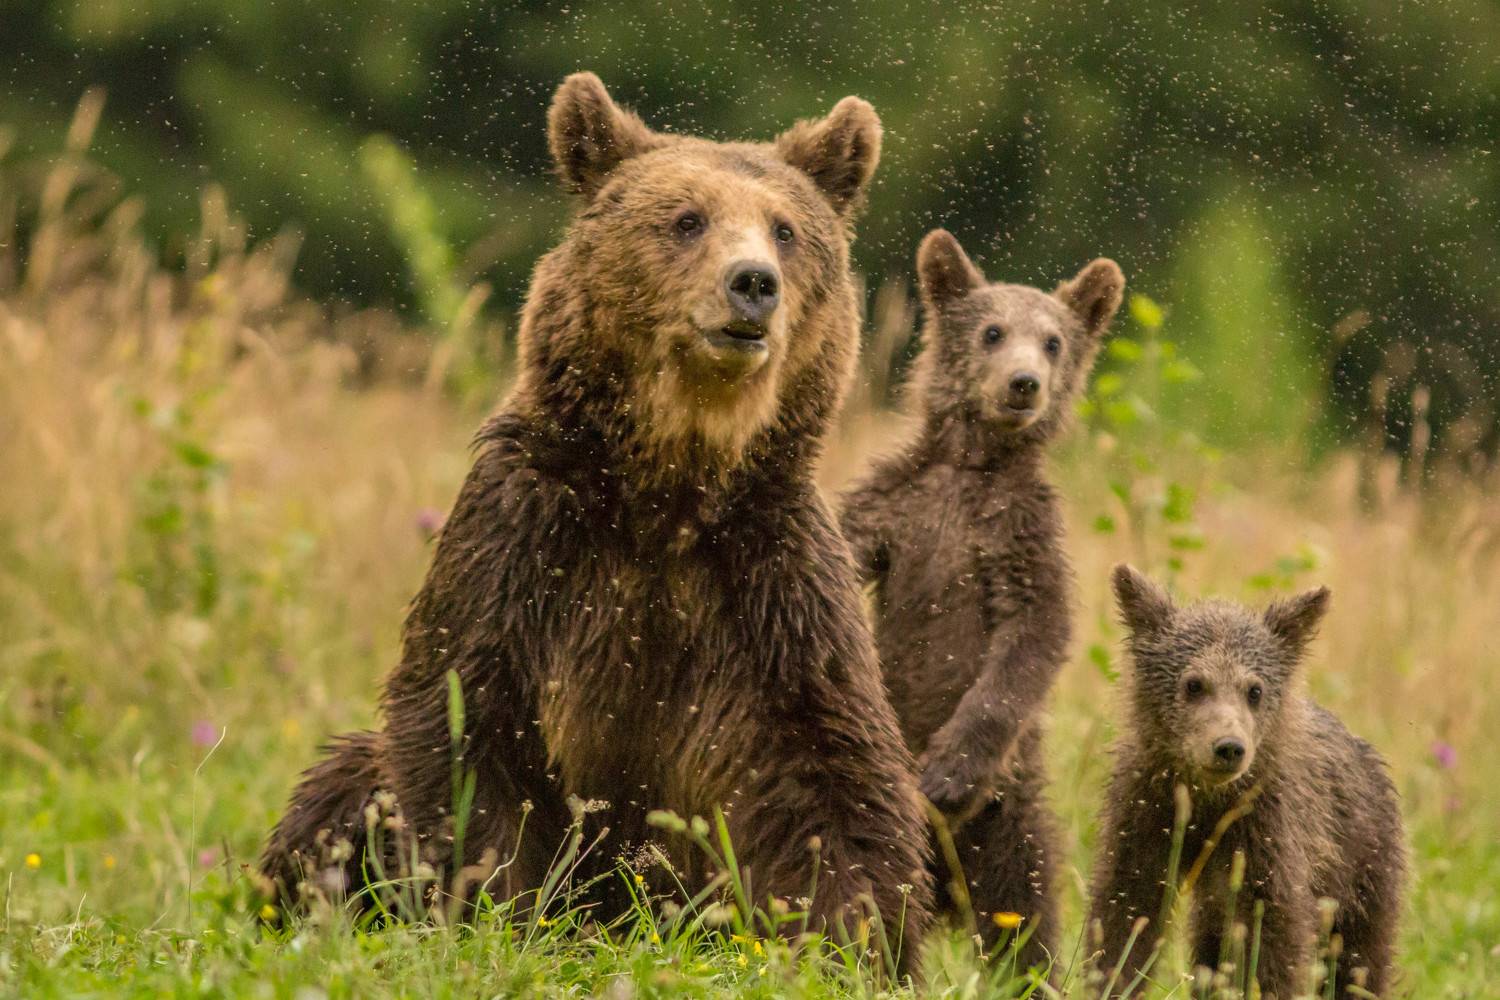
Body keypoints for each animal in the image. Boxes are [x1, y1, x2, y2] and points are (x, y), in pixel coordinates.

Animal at [261, 72, 935, 950]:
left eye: (787, 230)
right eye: (686, 219)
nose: (754, 283)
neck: (667, 490)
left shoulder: (767, 580)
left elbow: (832, 767)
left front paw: (855, 937)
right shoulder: (527, 540)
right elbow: (469, 720)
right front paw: (494, 909)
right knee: (339, 788)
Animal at [838, 229, 1124, 972]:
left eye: (1053, 340)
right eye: (993, 331)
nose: (1024, 383)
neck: (973, 465)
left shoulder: (1019, 536)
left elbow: (1032, 638)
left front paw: (946, 770)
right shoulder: (895, 509)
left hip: (1010, 823)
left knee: (1025, 915)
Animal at [1088, 565, 1406, 999]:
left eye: (1254, 689)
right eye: (1194, 683)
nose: (1228, 747)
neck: (1208, 801)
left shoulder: (1265, 834)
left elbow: (1270, 938)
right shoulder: (1146, 813)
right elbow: (1126, 912)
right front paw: (1111, 978)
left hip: (1362, 864)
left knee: (1358, 957)